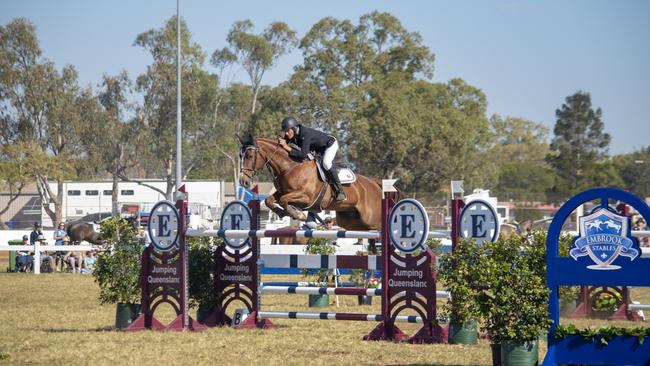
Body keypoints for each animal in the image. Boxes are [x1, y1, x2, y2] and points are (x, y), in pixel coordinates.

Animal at [240, 136, 388, 230]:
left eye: (250, 156)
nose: (244, 182)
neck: (290, 167)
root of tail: (374, 184)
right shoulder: (283, 192)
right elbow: (269, 200)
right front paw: (282, 213)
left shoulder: (306, 197)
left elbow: (283, 200)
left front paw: (298, 214)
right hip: (350, 220)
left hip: (372, 220)